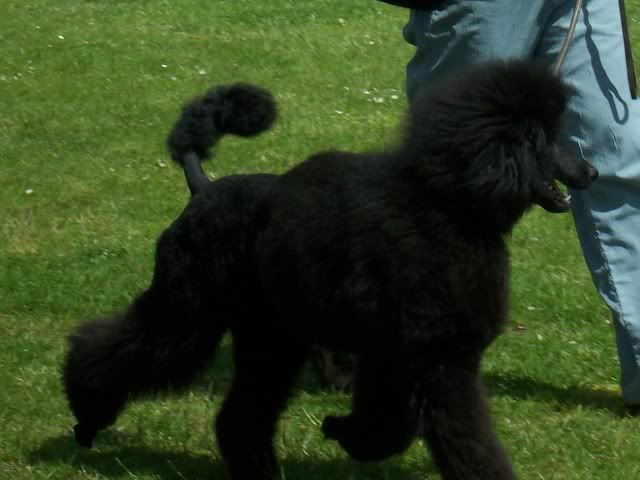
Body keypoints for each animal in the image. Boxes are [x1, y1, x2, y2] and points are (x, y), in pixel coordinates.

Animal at [63, 60, 597, 480]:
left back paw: (259, 471)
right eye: (547, 140)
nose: (590, 172)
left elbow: (390, 422)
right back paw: (87, 415)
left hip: (271, 333)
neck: (447, 207)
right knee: (126, 347)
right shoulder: (439, 356)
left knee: (240, 416)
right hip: (192, 304)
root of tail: (204, 188)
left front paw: (344, 432)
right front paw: (345, 432)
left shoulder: (393, 353)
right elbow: (462, 438)